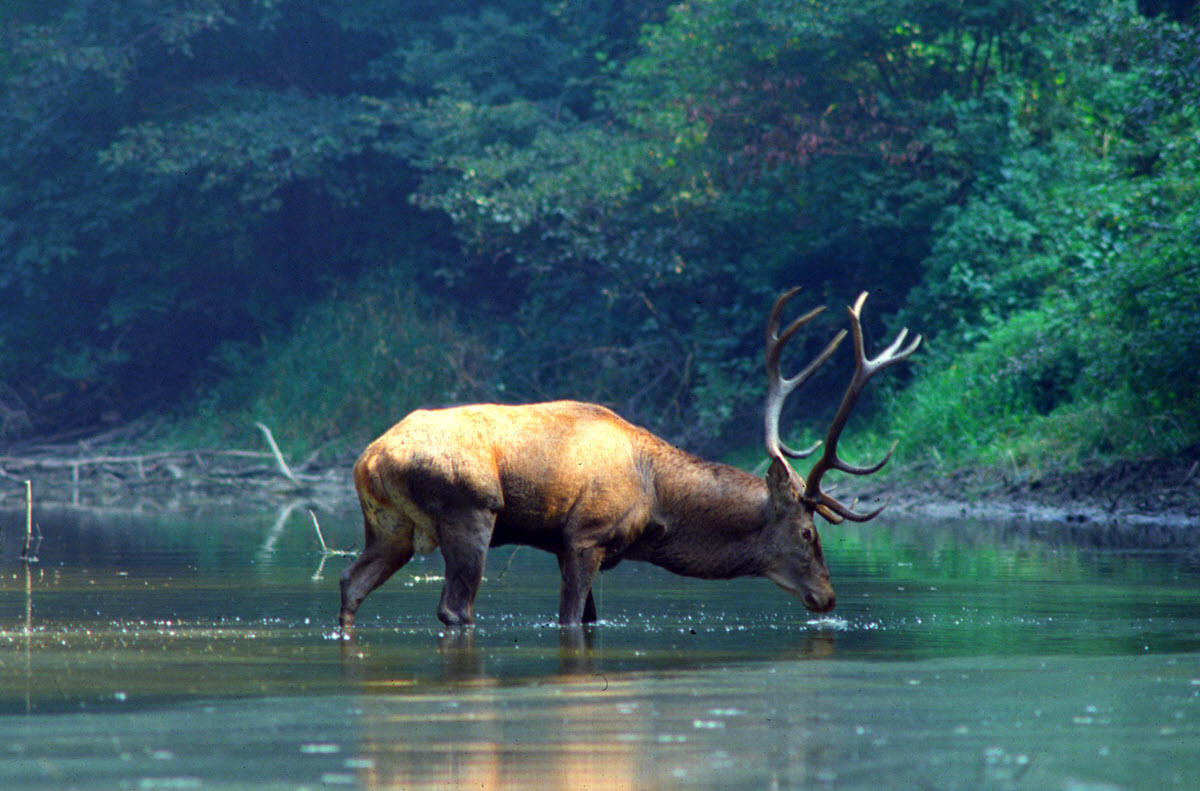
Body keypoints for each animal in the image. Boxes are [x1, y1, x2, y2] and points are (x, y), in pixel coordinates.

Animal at [338, 290, 916, 628]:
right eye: (807, 533)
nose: (828, 597)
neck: (657, 505)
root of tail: (368, 459)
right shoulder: (585, 536)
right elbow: (572, 620)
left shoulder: (568, 545)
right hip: (470, 509)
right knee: (455, 608)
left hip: (389, 526)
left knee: (351, 584)